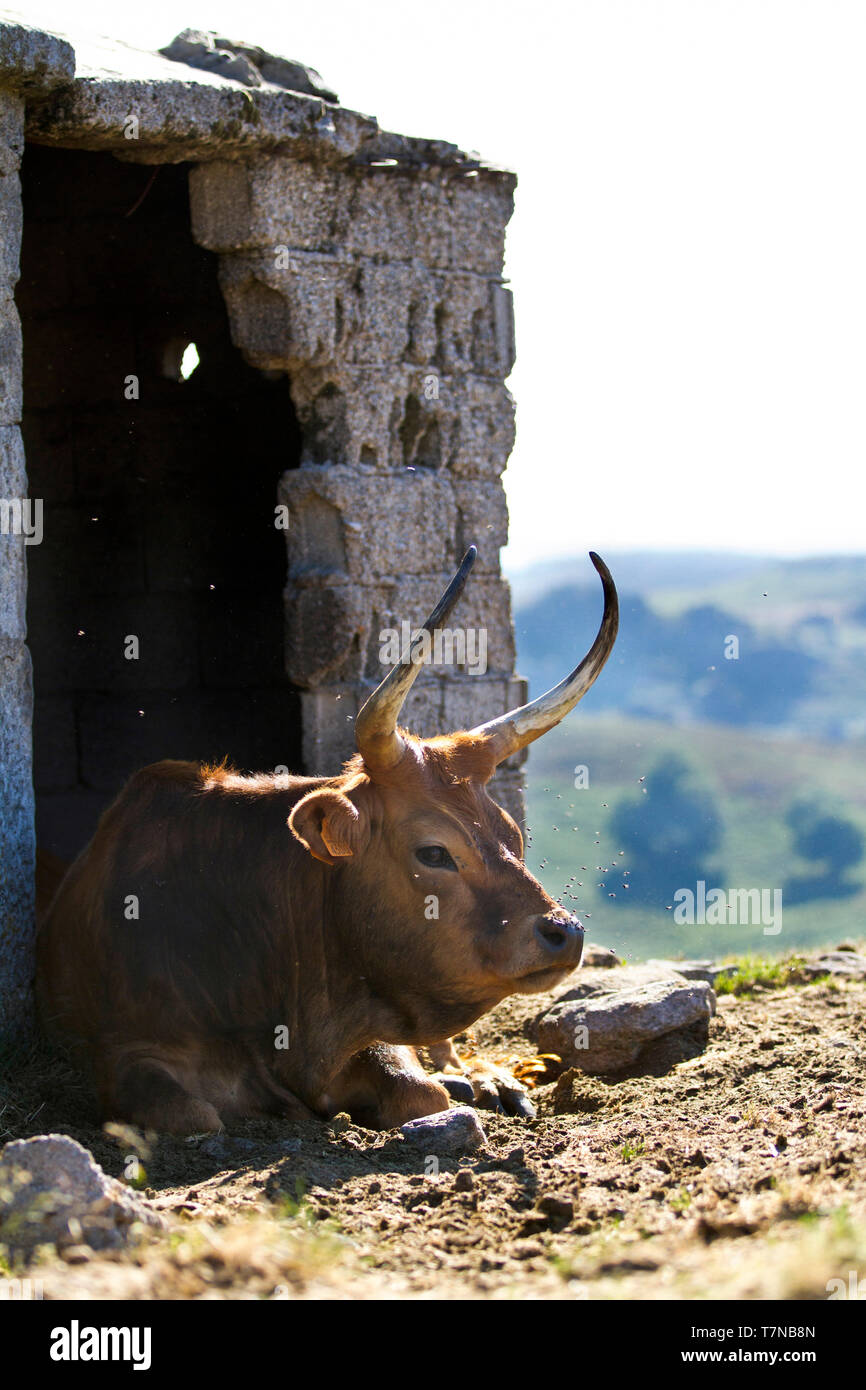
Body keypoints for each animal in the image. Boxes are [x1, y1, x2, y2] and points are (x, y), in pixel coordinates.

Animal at [35, 547, 617, 1134]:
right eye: (434, 852)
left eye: (512, 836)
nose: (565, 933)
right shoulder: (124, 1052)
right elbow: (193, 1113)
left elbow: (420, 1091)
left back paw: (488, 1080)